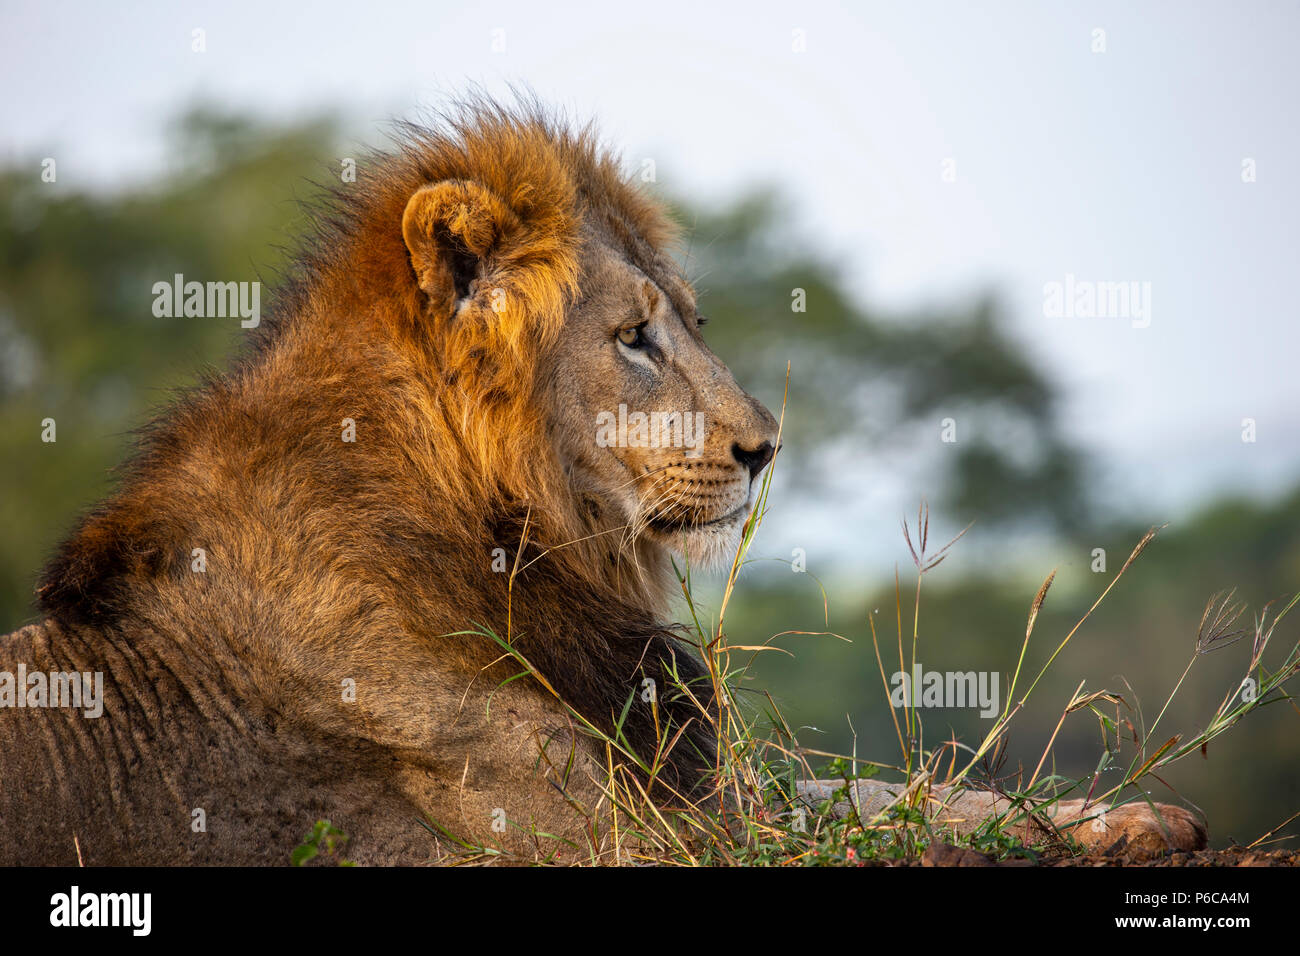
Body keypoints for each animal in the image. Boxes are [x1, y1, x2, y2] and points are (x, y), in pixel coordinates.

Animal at [0, 98, 1203, 864]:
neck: (509, 531)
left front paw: (1133, 818)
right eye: (633, 337)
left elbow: (879, 792)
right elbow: (864, 824)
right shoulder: (607, 832)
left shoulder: (676, 778)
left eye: (692, 323)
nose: (766, 447)